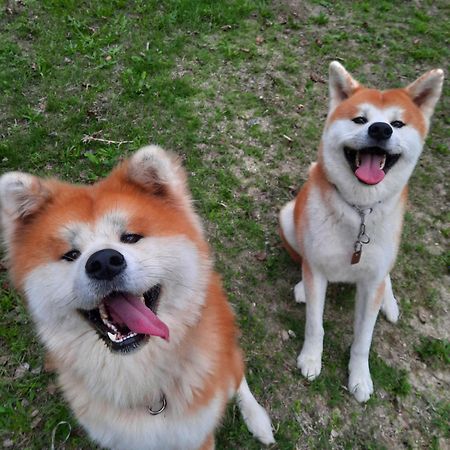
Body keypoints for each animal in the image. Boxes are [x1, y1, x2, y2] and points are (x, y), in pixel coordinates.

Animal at [0, 146, 274, 448]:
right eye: (71, 254)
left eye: (131, 237)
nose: (103, 262)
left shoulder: (197, 437)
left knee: (237, 376)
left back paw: (258, 419)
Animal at [280, 61, 444, 402]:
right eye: (360, 119)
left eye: (398, 123)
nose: (380, 130)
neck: (360, 211)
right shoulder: (317, 268)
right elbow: (315, 324)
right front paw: (311, 359)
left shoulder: (371, 282)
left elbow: (363, 338)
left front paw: (359, 377)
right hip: (288, 217)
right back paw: (301, 286)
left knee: (387, 277)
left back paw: (389, 303)